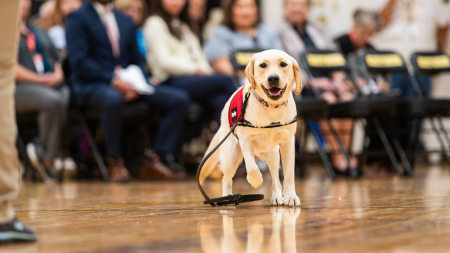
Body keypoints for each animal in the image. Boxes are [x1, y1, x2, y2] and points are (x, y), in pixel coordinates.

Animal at [201, 49, 302, 206]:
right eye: (262, 65)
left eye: (283, 64)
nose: (273, 78)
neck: (271, 107)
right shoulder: (245, 139)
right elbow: (252, 167)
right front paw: (256, 181)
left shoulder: (287, 142)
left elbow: (289, 174)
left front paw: (290, 196)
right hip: (231, 156)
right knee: (226, 179)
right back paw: (227, 198)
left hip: (272, 154)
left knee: (275, 178)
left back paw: (276, 196)